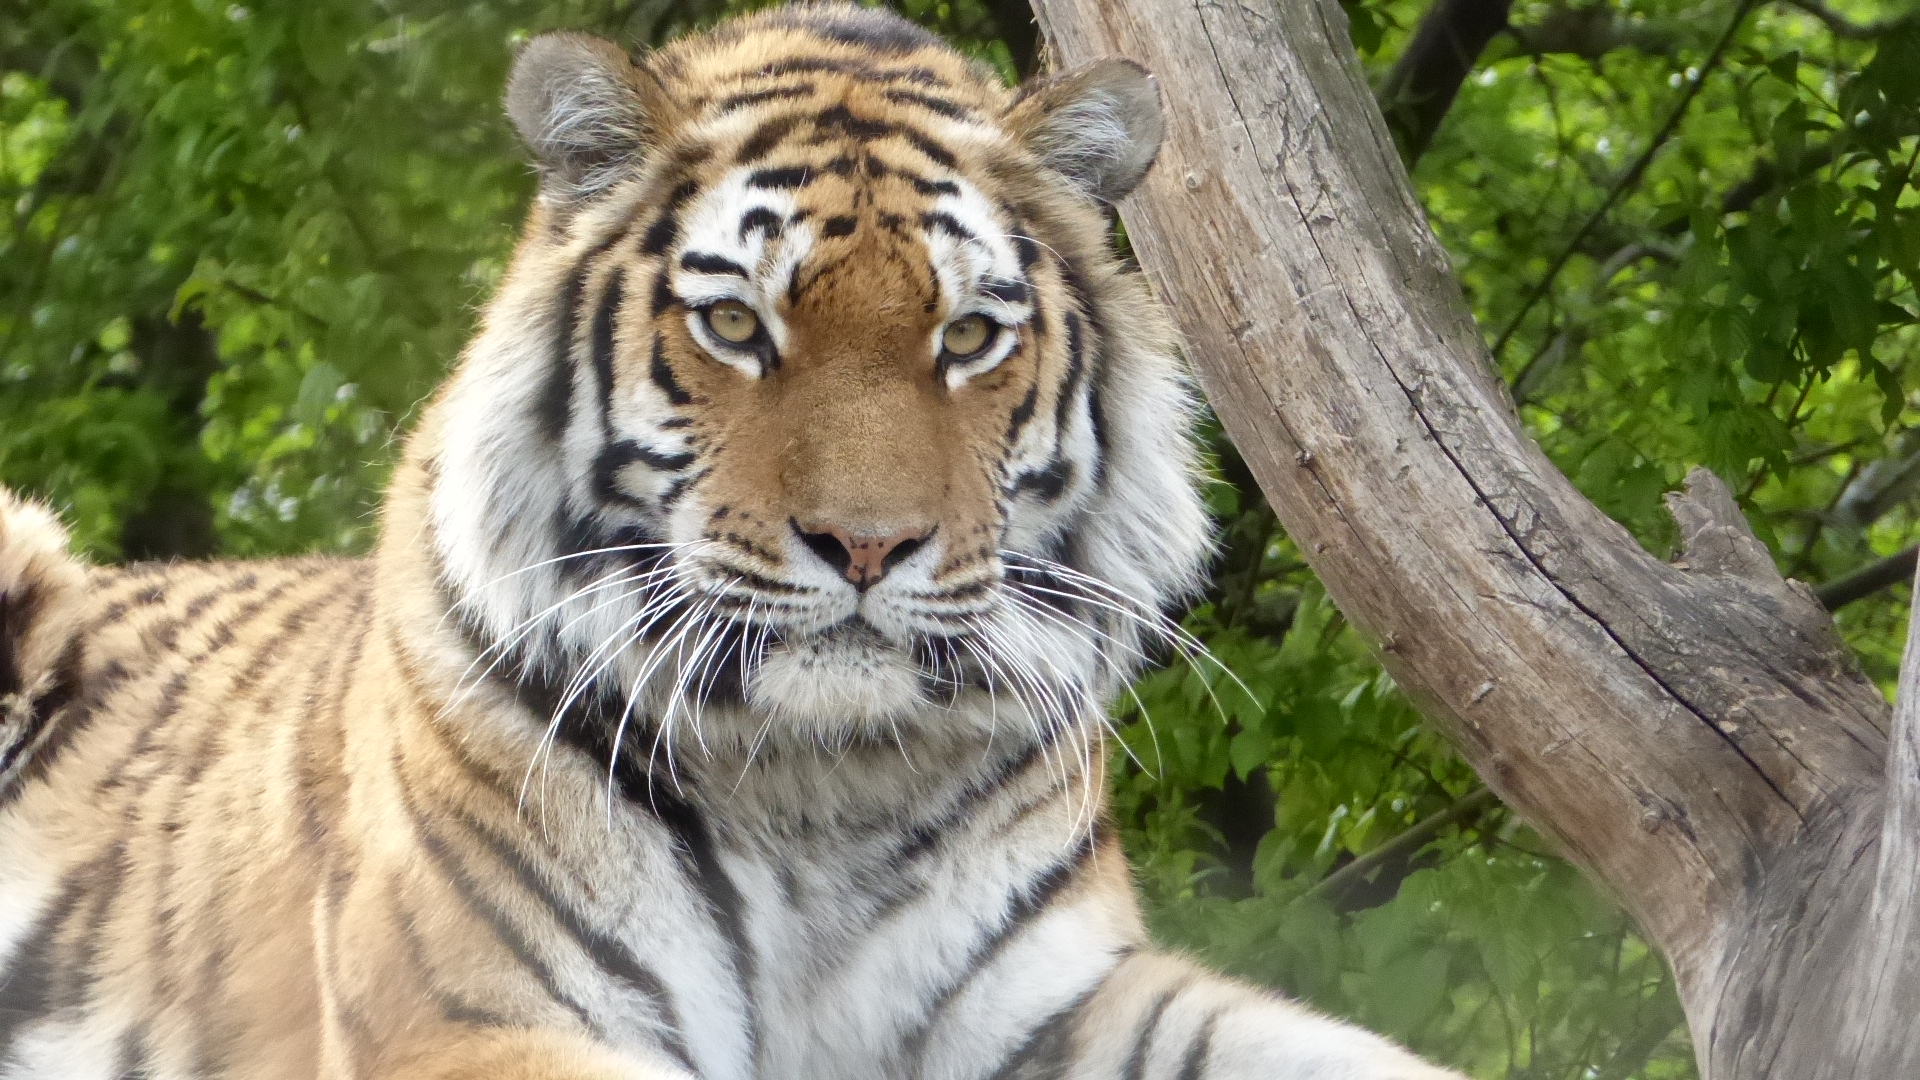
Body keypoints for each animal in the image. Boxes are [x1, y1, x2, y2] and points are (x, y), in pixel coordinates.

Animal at [0, 8, 1459, 1076]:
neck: (823, 781)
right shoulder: (474, 1014)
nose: (867, 547)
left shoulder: (1053, 997)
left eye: (968, 337)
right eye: (738, 326)